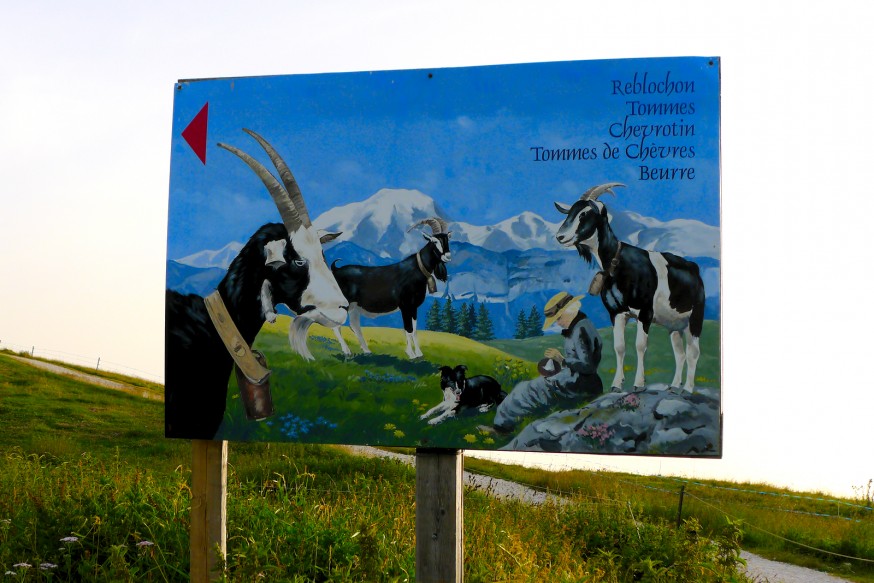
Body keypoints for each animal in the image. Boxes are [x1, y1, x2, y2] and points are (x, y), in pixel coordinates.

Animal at [328, 217, 450, 358]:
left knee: (354, 325)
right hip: (342, 305)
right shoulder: (405, 306)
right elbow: (408, 329)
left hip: (354, 307)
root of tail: (335, 270)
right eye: (435, 241)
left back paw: (367, 351)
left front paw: (419, 354)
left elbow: (414, 330)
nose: (448, 256)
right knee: (336, 325)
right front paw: (411, 354)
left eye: (447, 238)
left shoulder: (413, 308)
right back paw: (347, 351)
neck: (416, 269)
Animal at [556, 182, 704, 392]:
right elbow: (619, 347)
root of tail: (694, 268)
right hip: (674, 324)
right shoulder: (616, 313)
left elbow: (640, 346)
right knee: (680, 353)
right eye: (570, 212)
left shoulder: (645, 312)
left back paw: (688, 388)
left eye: (584, 213)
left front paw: (639, 384)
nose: (560, 236)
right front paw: (617, 384)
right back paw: (674, 386)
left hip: (695, 317)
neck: (618, 263)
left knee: (693, 352)